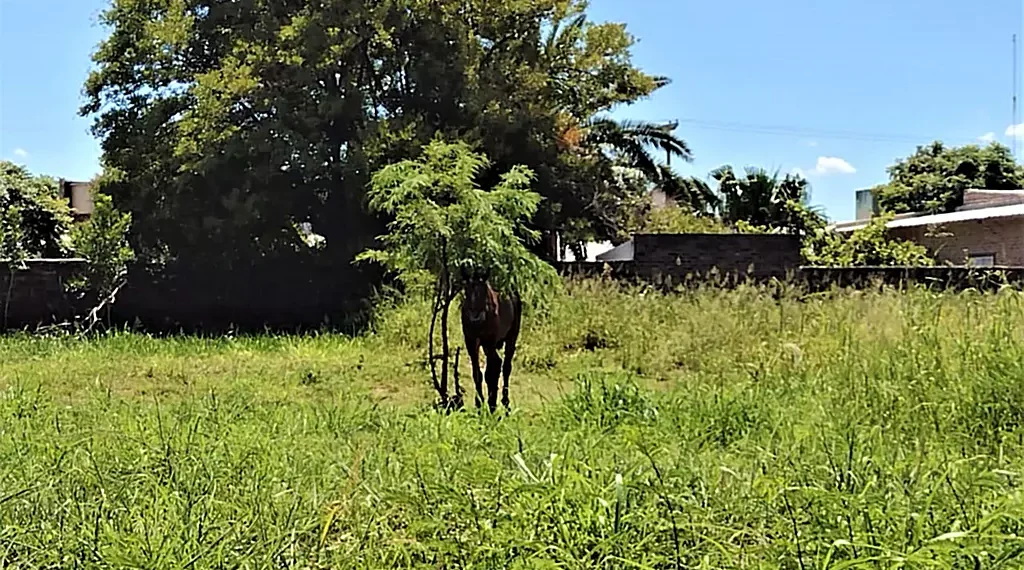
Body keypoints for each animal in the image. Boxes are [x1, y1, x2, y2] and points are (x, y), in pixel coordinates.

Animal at [461, 273, 522, 412]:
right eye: (466, 291)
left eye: (484, 292)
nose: (475, 318)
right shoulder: (471, 341)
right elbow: (477, 373)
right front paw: (479, 403)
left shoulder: (489, 341)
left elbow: (490, 371)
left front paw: (490, 402)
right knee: (497, 364)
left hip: (511, 337)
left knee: (505, 366)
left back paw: (504, 401)